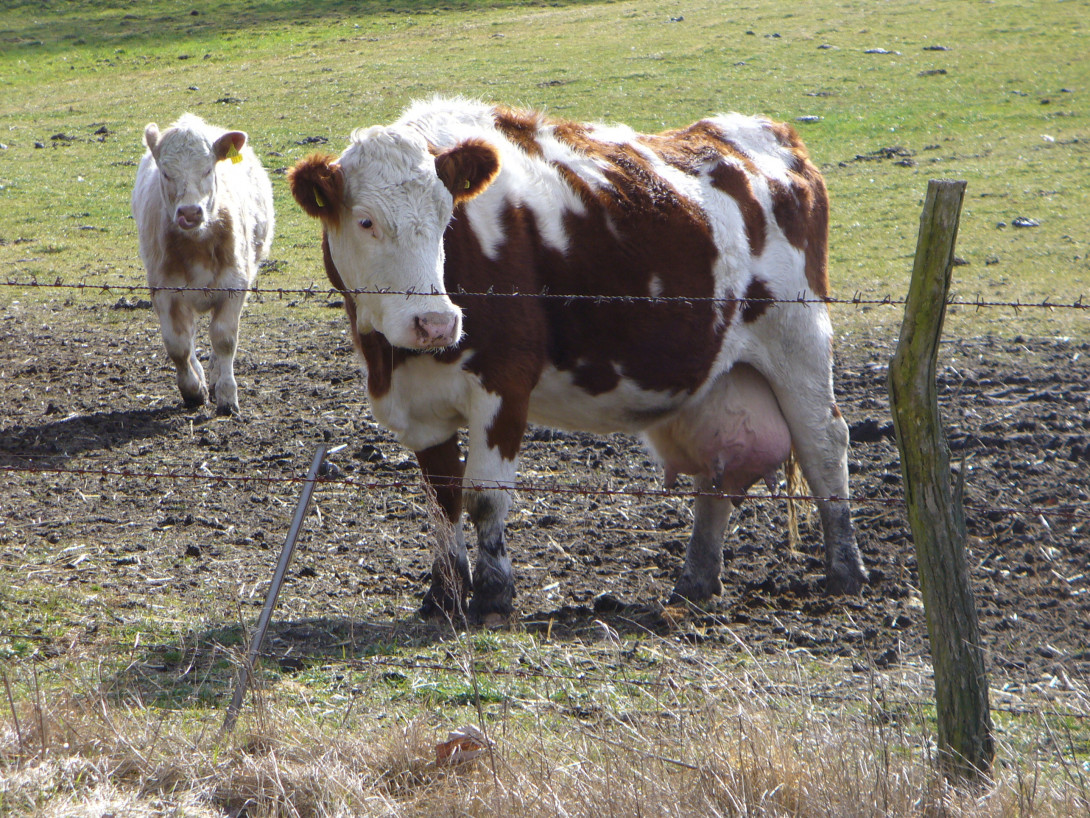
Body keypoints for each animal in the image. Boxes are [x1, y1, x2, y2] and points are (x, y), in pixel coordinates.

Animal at [132, 113, 274, 415]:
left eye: (208, 169)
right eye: (166, 173)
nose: (189, 212)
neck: (196, 245)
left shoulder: (234, 284)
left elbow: (224, 339)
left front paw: (227, 396)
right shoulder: (165, 290)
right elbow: (178, 344)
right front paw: (193, 390)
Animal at [288, 97, 868, 621]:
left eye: (445, 215)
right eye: (365, 221)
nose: (435, 323)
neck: (393, 356)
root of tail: (770, 133)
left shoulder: (505, 383)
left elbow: (485, 497)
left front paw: (493, 597)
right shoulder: (421, 409)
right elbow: (443, 500)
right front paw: (443, 597)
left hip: (799, 339)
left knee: (823, 444)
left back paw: (845, 571)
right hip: (717, 374)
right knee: (718, 472)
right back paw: (694, 583)